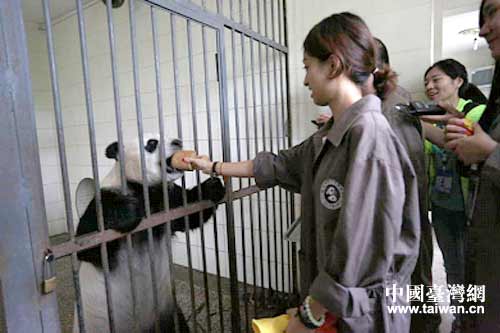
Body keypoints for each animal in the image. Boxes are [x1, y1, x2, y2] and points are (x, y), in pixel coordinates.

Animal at [72, 134, 225, 330]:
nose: (178, 142)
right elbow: (87, 245)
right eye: (151, 143)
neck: (144, 190)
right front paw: (127, 213)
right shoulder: (106, 198)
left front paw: (212, 187)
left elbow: (189, 215)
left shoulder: (166, 200)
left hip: (169, 313)